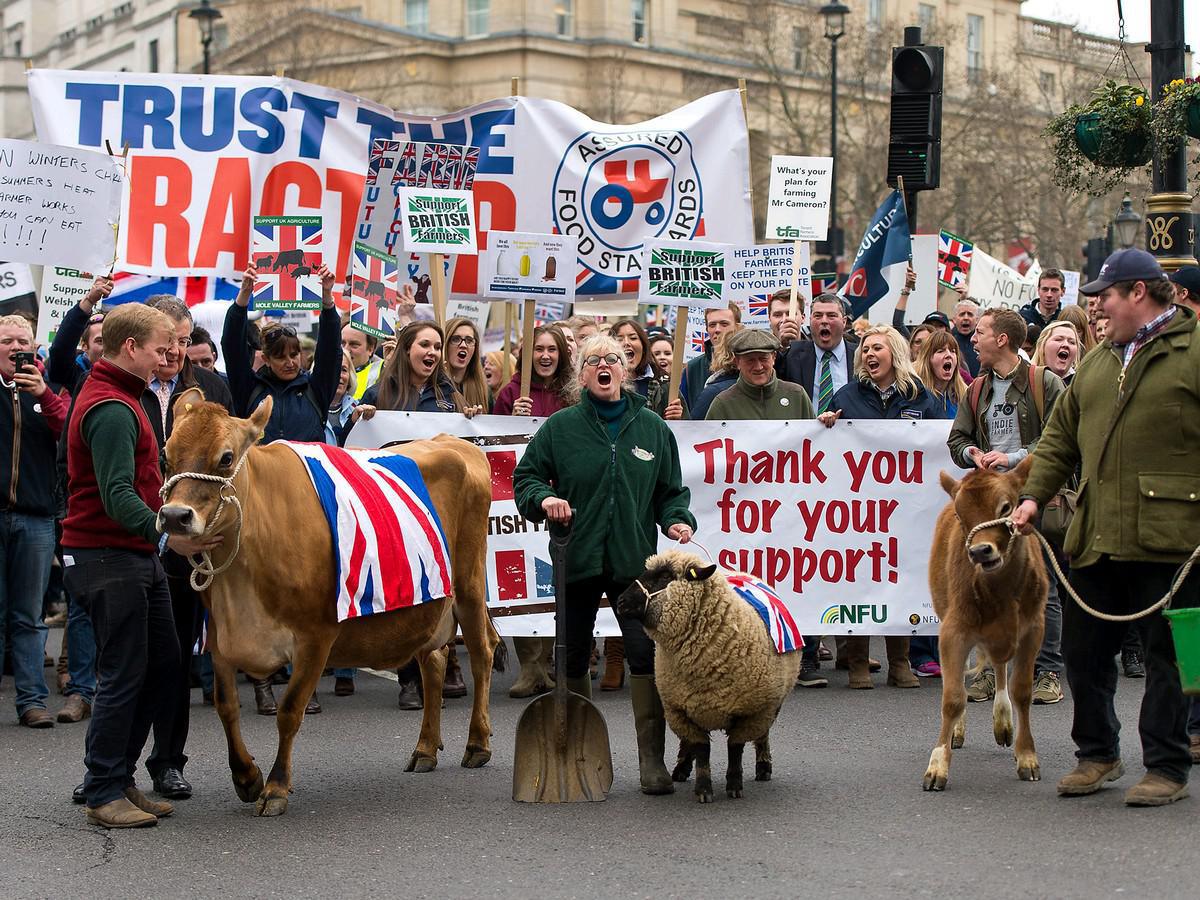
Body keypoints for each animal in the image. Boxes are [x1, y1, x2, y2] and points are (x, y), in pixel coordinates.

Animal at [158, 391, 496, 820]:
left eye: (226, 457)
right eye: (167, 455)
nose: (174, 517)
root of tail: (451, 442)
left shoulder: (316, 635)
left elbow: (290, 710)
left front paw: (275, 787)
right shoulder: (220, 638)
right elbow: (225, 706)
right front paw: (246, 776)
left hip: (470, 584)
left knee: (483, 652)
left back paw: (477, 743)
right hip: (429, 601)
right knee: (433, 661)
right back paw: (424, 749)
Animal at [614, 554, 801, 806]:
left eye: (665, 576)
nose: (620, 601)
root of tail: (744, 573)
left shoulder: (750, 711)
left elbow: (735, 748)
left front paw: (734, 785)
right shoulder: (680, 710)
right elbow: (701, 750)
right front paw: (703, 789)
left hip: (771, 705)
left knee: (763, 735)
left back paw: (763, 766)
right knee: (687, 743)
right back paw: (681, 769)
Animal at [921, 460, 1046, 792]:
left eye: (1006, 507)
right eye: (961, 515)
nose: (979, 551)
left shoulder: (1033, 630)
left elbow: (1022, 691)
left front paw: (1027, 756)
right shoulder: (953, 631)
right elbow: (952, 698)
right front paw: (937, 766)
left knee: (1001, 669)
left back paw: (1004, 722)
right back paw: (958, 731)